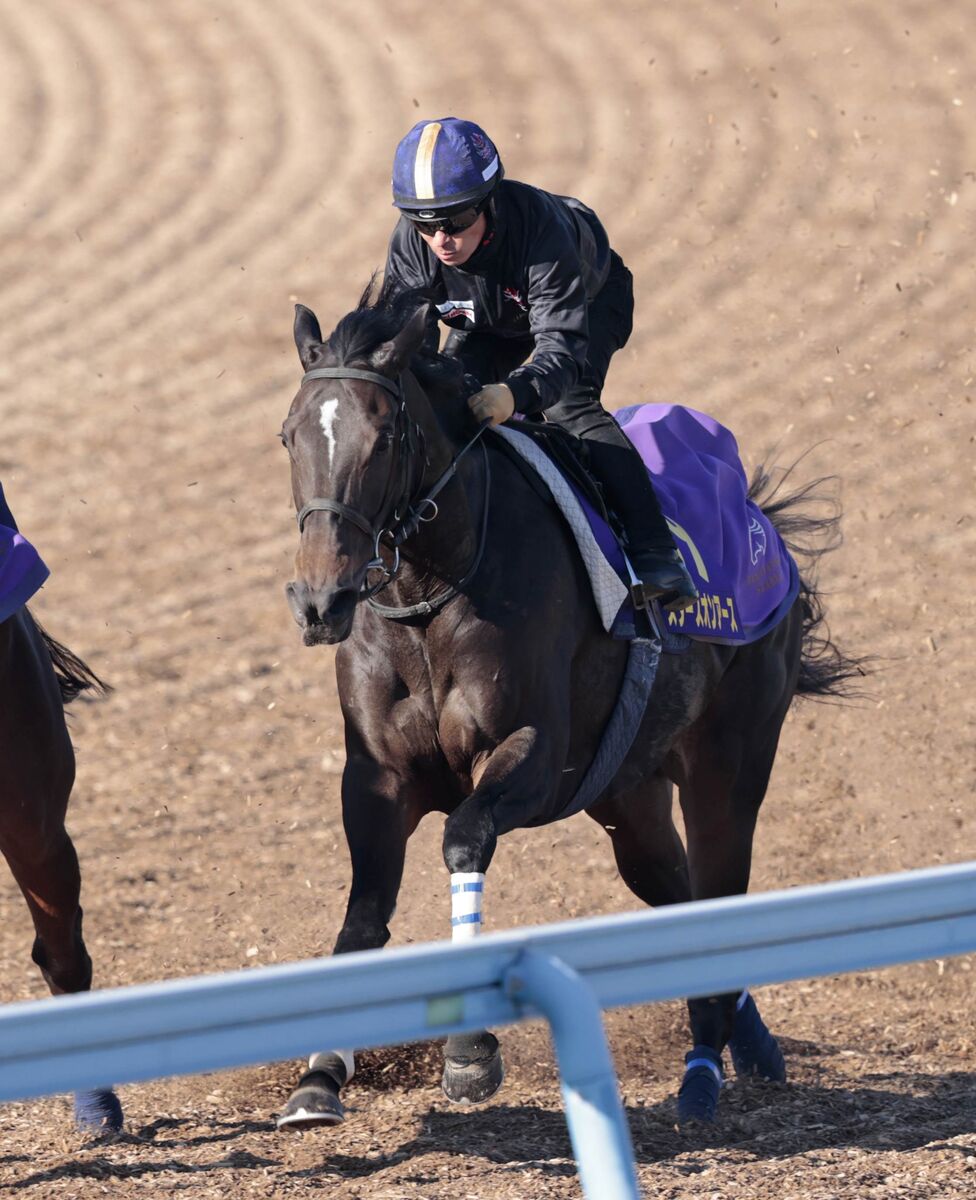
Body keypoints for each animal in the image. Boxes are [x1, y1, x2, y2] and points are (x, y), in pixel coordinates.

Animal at [276, 283, 859, 1132]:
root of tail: (762, 529)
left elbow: (463, 840)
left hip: (730, 764)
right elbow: (364, 913)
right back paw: (749, 1045)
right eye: (290, 436)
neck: (429, 594)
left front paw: (469, 1052)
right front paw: (320, 1073)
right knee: (676, 891)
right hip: (628, 795)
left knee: (719, 887)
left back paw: (702, 1075)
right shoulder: (378, 777)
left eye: (383, 438)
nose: (322, 601)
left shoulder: (531, 753)